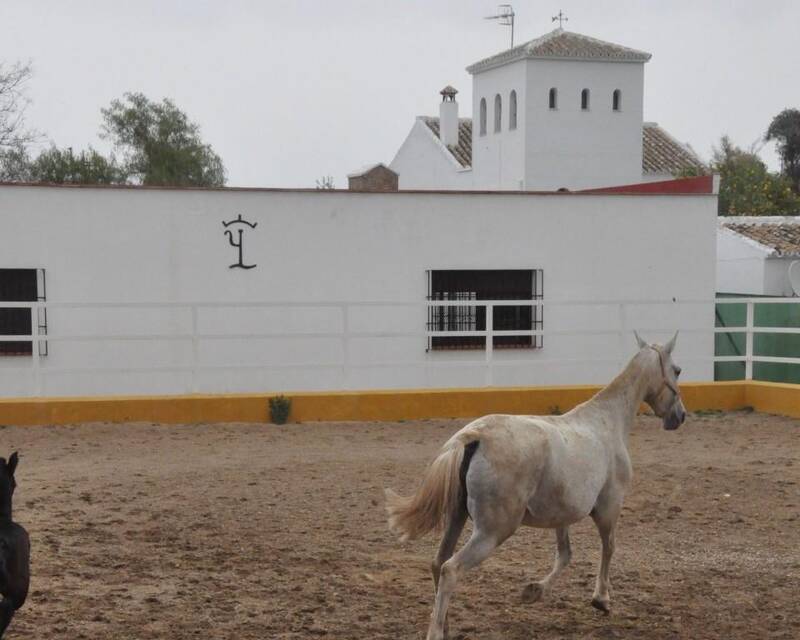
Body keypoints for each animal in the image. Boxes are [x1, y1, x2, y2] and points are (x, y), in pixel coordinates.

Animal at [384, 332, 684, 636]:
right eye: (678, 370)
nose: (679, 417)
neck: (607, 422)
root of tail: (475, 437)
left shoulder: (562, 515)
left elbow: (565, 554)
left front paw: (533, 591)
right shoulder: (609, 507)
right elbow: (608, 547)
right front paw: (601, 599)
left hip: (458, 517)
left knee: (437, 563)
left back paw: (446, 627)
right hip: (493, 531)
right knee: (450, 569)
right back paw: (436, 631)